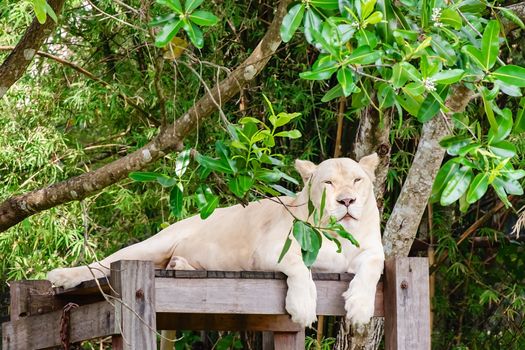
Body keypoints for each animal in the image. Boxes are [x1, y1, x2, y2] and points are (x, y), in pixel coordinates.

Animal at [48, 154, 384, 328]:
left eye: (357, 180)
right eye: (328, 183)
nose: (347, 201)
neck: (339, 233)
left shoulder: (371, 251)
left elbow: (374, 267)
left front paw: (359, 308)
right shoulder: (270, 249)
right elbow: (299, 267)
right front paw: (302, 307)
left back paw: (180, 266)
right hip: (153, 244)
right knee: (104, 263)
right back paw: (61, 276)